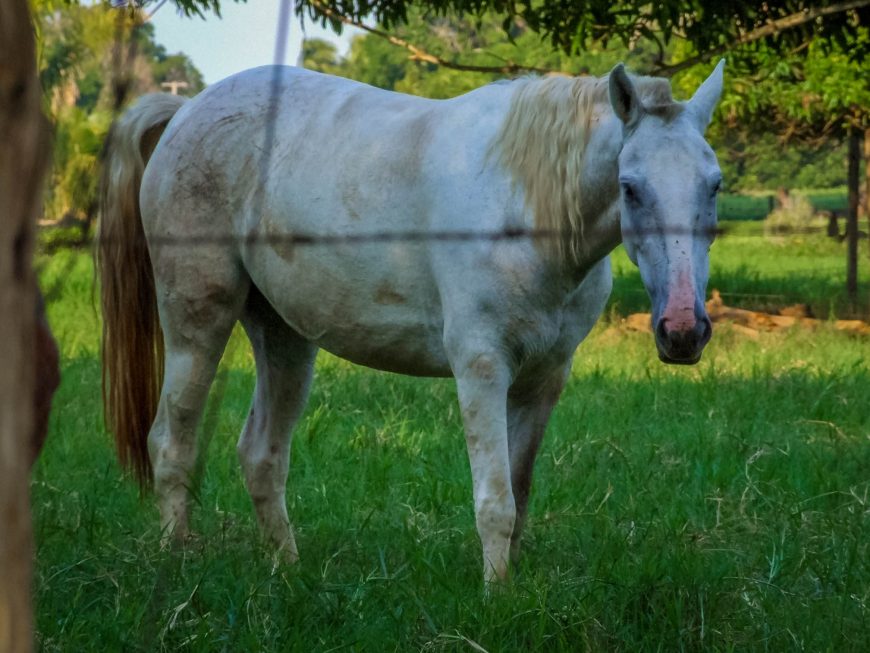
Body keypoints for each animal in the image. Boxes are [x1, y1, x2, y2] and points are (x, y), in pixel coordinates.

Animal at [95, 59, 724, 580]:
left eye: (714, 185)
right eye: (630, 188)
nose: (683, 331)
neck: (527, 205)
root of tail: (186, 111)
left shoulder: (544, 379)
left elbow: (519, 496)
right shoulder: (481, 368)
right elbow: (495, 502)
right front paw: (496, 599)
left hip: (285, 338)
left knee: (261, 455)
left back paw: (290, 573)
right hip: (197, 323)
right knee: (170, 443)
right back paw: (178, 560)